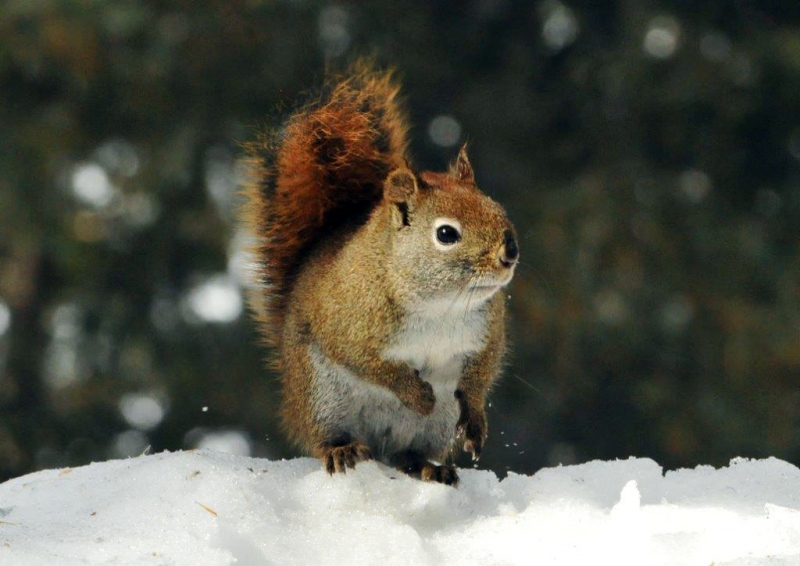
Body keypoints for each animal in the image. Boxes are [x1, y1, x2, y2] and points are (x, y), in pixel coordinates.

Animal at [242, 64, 518, 486]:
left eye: (496, 207)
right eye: (446, 234)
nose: (510, 252)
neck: (440, 304)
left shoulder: (487, 330)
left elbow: (480, 374)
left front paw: (474, 419)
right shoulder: (347, 320)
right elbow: (369, 362)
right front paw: (416, 393)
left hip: (432, 427)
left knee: (409, 453)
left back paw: (429, 467)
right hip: (322, 398)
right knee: (327, 438)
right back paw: (342, 451)